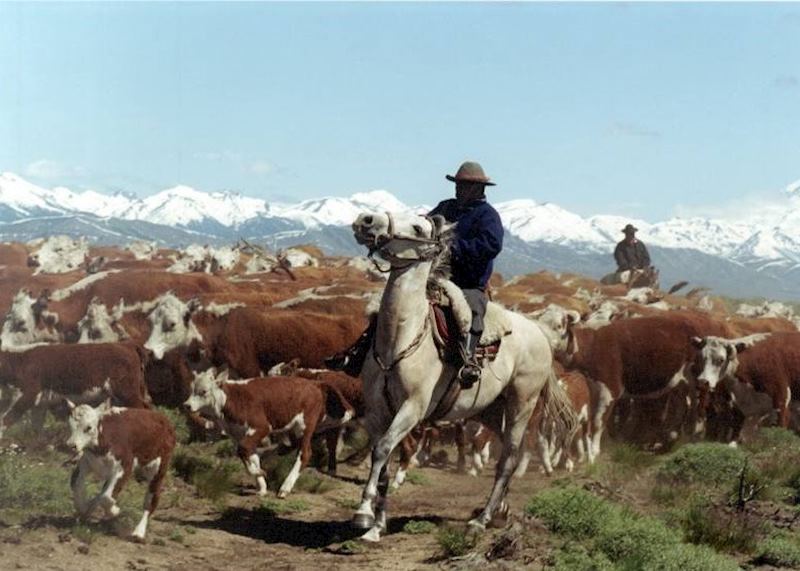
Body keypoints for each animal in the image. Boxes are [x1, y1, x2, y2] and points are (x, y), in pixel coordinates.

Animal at [0, 342, 150, 437]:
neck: (19, 361)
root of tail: (128, 345)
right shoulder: (40, 403)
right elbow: (36, 426)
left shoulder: (27, 394)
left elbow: (7, 417)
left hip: (127, 392)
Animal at [67, 400, 175, 540]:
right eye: (70, 425)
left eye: (88, 427)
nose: (71, 445)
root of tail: (163, 419)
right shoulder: (86, 463)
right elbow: (77, 485)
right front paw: (84, 509)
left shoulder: (124, 467)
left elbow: (106, 497)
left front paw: (115, 511)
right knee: (102, 492)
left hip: (159, 470)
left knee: (150, 502)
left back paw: (138, 532)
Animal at [184, 369, 353, 498]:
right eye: (192, 390)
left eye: (203, 391)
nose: (187, 405)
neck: (231, 399)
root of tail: (314, 384)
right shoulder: (239, 434)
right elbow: (250, 455)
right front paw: (261, 486)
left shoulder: (261, 427)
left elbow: (243, 450)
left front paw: (260, 472)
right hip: (295, 428)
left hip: (305, 426)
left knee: (304, 453)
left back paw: (285, 488)